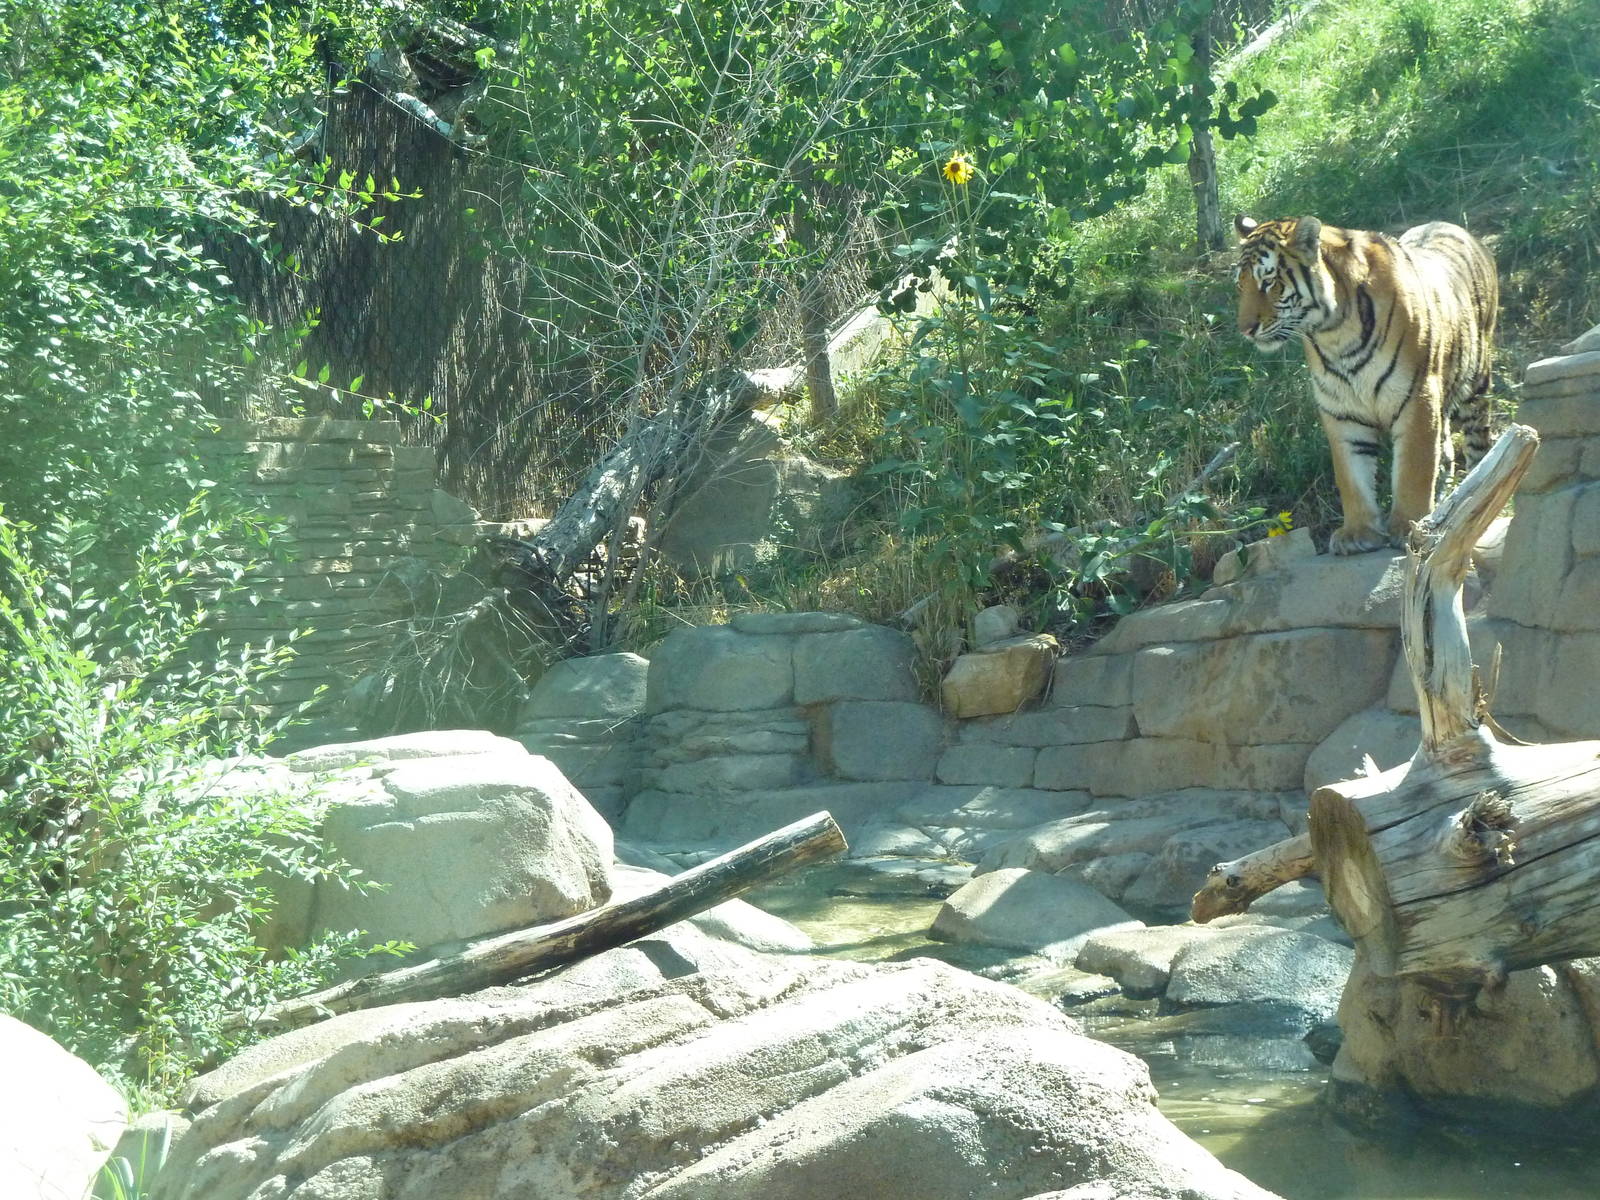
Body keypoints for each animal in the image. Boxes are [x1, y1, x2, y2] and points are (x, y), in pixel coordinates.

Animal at [1234, 215, 1497, 555]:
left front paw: (1408, 527)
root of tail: (1454, 226)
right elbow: (1351, 477)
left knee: (1479, 444)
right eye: (1240, 285)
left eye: (1268, 282)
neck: (1333, 333)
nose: (1245, 330)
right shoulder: (1341, 410)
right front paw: (1358, 533)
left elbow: (1414, 470)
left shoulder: (1417, 399)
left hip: (1475, 385)